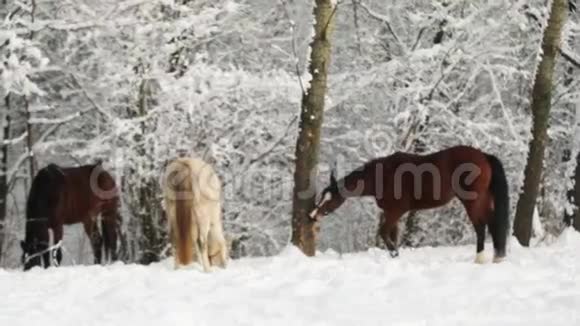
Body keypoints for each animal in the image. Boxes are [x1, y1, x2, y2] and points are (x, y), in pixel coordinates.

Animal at [308, 146, 508, 264]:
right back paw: (497, 256)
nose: (312, 215)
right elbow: (393, 235)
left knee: (481, 226)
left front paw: (394, 254)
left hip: (472, 201)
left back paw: (480, 258)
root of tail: (483, 156)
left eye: (329, 199)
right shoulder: (391, 213)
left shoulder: (396, 211)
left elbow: (383, 232)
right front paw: (395, 256)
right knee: (492, 223)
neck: (383, 176)